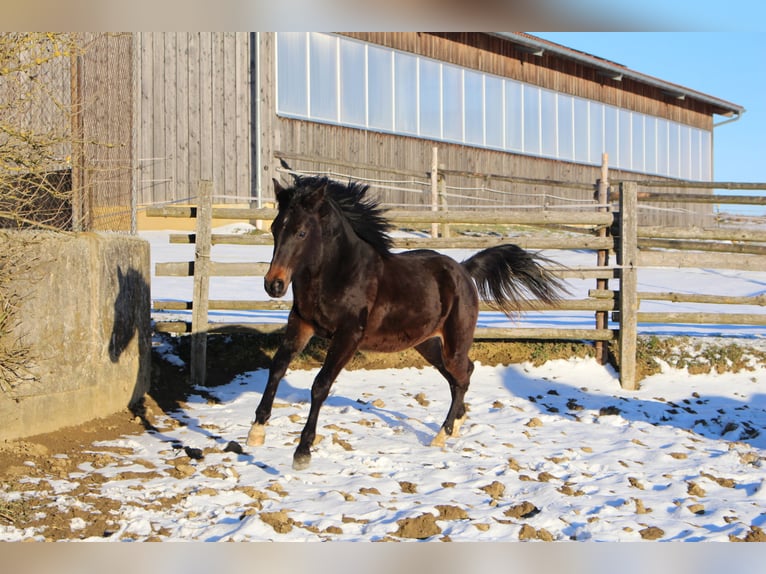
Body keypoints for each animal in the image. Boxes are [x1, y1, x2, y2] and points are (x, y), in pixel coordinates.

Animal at [247, 173, 568, 470]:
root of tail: (464, 270)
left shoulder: (348, 336)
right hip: (427, 344)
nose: (273, 284)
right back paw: (456, 424)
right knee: (459, 376)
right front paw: (256, 432)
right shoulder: (301, 323)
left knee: (463, 375)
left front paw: (302, 452)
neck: (338, 273)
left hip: (454, 342)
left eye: (301, 232)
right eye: (275, 228)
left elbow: (320, 385)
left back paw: (442, 434)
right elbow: (277, 367)